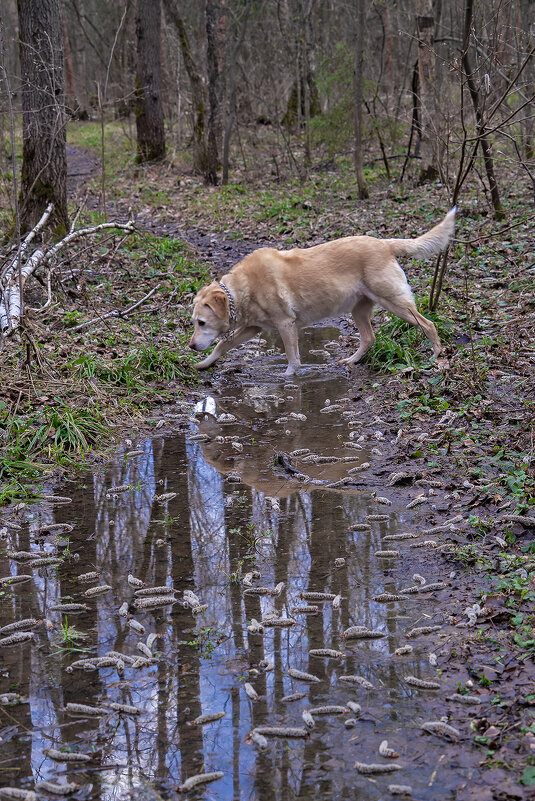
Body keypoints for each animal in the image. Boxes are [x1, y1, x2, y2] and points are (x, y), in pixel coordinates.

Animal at [191, 208, 454, 374]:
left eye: (202, 323)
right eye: (194, 322)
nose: (191, 346)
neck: (240, 291)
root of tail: (384, 243)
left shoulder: (286, 324)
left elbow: (293, 360)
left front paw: (288, 378)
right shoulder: (253, 328)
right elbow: (221, 346)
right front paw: (203, 364)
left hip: (394, 302)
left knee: (428, 324)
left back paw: (436, 355)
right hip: (359, 309)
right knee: (369, 338)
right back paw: (351, 360)